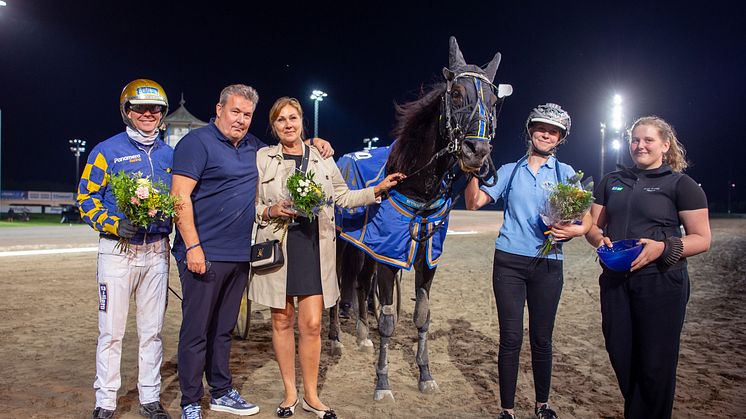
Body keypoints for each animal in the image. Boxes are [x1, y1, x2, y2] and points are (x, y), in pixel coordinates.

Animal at [332, 37, 512, 400]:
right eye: (455, 92)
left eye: (494, 101)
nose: (477, 151)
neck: (414, 181)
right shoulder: (389, 257)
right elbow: (388, 319)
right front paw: (383, 382)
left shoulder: (425, 260)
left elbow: (422, 315)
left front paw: (425, 374)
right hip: (340, 243)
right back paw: (335, 340)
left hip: (364, 248)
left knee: (360, 284)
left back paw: (362, 336)